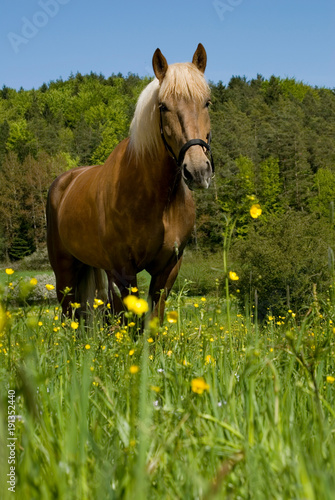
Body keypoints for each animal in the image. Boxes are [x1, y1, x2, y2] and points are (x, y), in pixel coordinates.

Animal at [46, 44, 215, 324]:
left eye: (207, 102)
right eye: (163, 106)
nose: (198, 170)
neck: (157, 199)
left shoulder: (167, 270)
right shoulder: (124, 272)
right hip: (64, 272)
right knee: (70, 316)